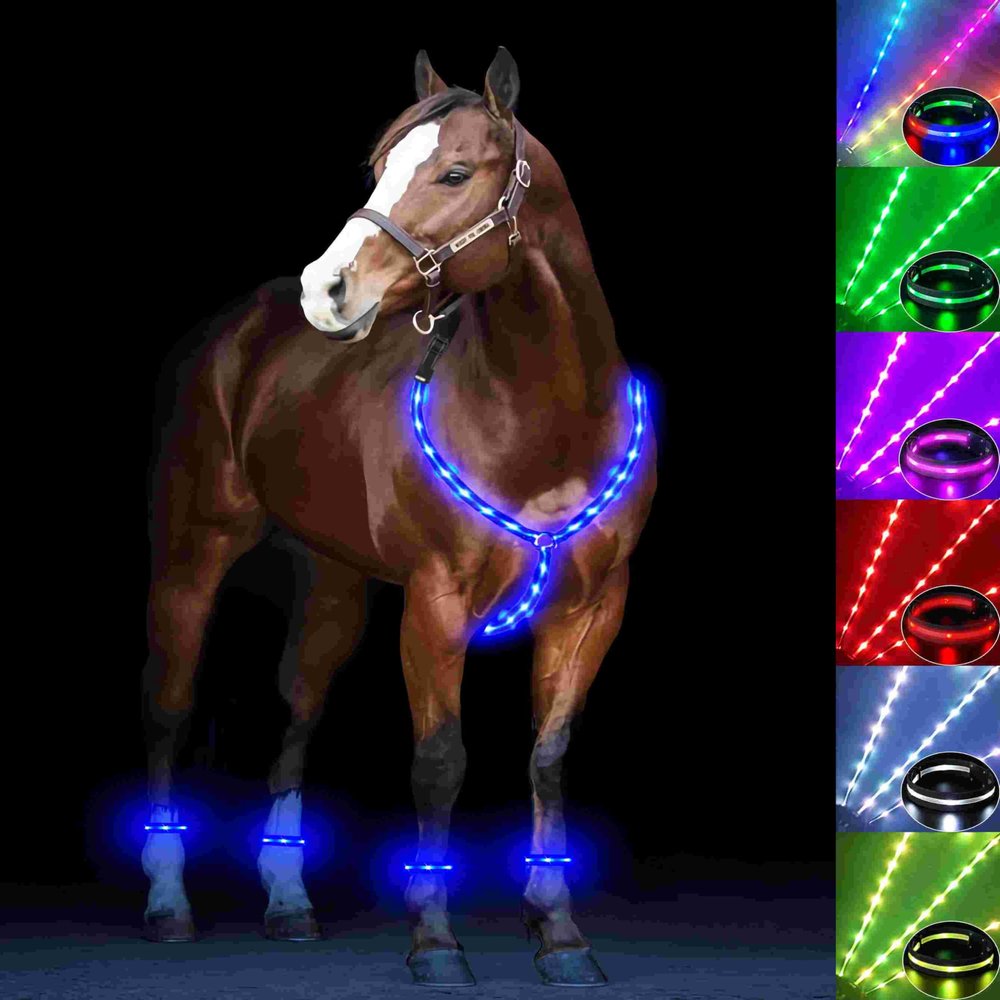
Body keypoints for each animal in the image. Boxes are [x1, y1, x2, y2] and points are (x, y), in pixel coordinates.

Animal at [141, 45, 656, 988]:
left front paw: (561, 938)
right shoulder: (435, 604)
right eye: (379, 167)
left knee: (297, 713)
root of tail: (236, 333)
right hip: (194, 554)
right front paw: (436, 943)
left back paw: (290, 906)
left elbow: (548, 760)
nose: (326, 290)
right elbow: (440, 762)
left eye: (455, 171)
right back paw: (168, 906)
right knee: (169, 707)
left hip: (333, 583)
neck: (545, 426)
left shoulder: (592, 606)